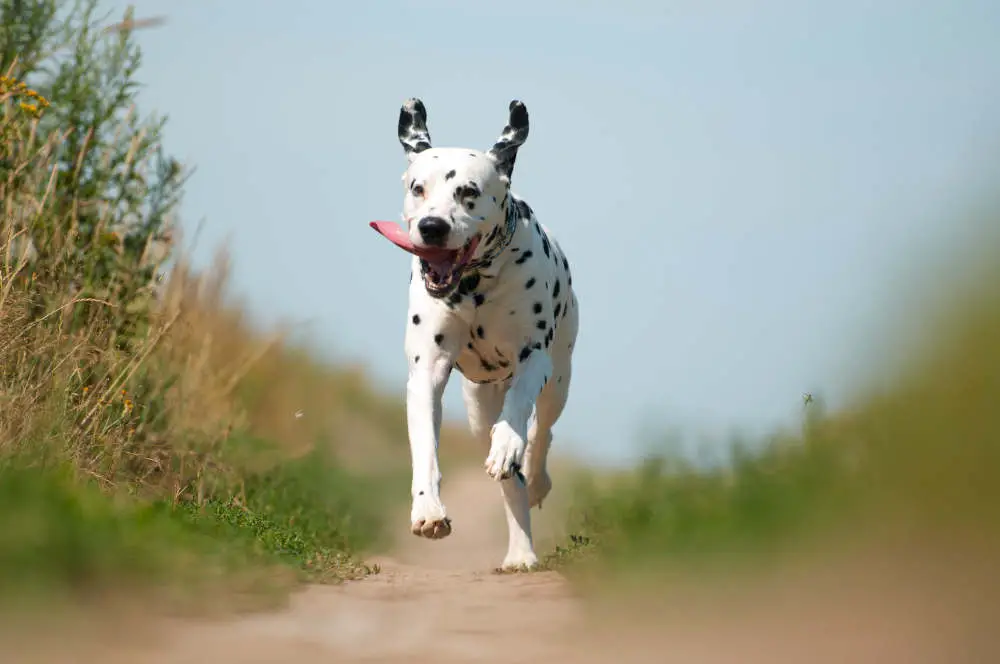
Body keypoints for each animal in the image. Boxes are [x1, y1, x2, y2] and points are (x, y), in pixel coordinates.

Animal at [372, 98, 580, 572]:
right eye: (418, 188)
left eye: (468, 192)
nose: (432, 227)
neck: (473, 284)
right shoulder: (426, 372)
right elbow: (425, 450)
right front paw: (428, 510)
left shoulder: (533, 358)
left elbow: (519, 413)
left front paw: (507, 445)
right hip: (479, 408)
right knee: (510, 485)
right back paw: (520, 550)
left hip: (559, 380)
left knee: (540, 435)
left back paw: (531, 489)